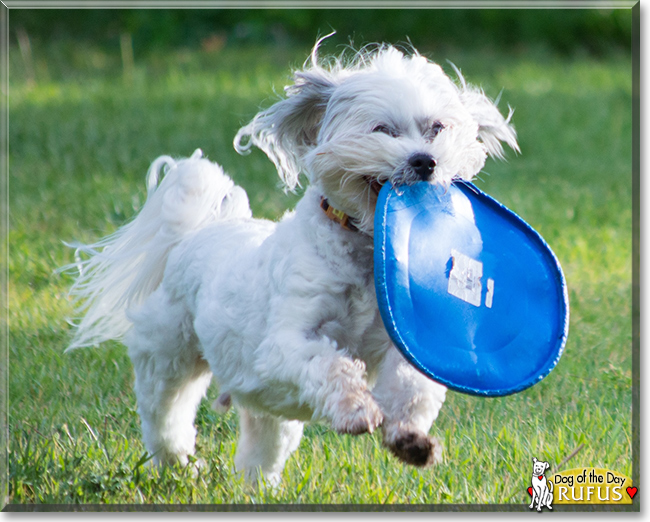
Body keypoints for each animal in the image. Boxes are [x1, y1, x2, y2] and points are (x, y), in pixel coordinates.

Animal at [64, 38, 516, 486]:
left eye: (437, 128)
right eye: (383, 130)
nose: (425, 160)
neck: (365, 253)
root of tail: (193, 233)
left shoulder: (398, 339)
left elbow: (412, 384)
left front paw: (410, 438)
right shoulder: (284, 345)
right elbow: (330, 364)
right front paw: (356, 408)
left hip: (264, 404)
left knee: (260, 441)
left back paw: (253, 485)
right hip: (168, 352)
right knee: (164, 412)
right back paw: (179, 462)